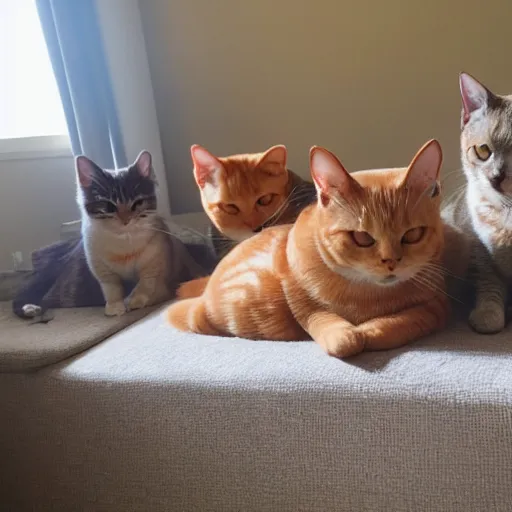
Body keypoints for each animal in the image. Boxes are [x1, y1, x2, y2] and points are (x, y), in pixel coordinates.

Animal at [78, 150, 202, 314]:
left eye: (138, 203)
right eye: (109, 206)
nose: (126, 220)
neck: (123, 245)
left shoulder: (155, 262)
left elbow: (146, 284)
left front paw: (135, 300)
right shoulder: (100, 267)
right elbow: (111, 287)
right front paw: (115, 306)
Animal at [168, 138, 448, 358]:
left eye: (412, 234)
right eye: (362, 237)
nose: (391, 261)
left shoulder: (436, 305)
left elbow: (409, 321)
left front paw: (372, 330)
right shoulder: (295, 288)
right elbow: (319, 316)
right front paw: (344, 335)